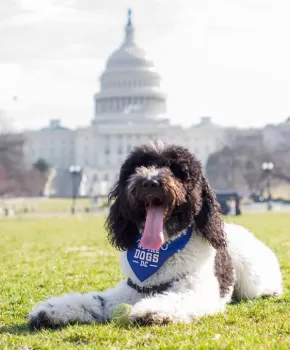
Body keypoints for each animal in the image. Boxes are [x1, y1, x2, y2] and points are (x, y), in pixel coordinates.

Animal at [28, 142, 282, 328]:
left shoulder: (197, 290)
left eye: (178, 170)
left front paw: (154, 310)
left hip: (250, 273)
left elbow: (177, 298)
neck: (158, 254)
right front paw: (53, 310)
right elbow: (94, 300)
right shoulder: (126, 292)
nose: (150, 182)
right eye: (138, 167)